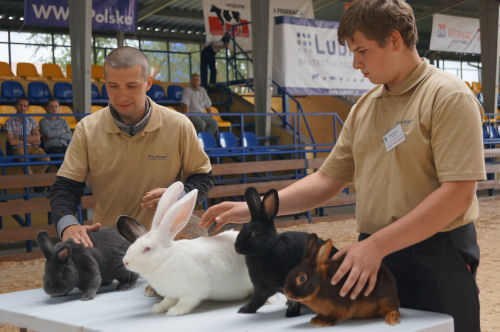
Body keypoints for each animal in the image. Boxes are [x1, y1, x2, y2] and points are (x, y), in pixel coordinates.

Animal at [117, 182, 254, 316]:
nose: (125, 261)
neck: (165, 260)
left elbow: (186, 302)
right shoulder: (171, 294)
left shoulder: (194, 290)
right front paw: (158, 308)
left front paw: (174, 311)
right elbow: (167, 301)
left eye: (147, 249)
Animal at [233, 187, 336, 316]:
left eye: (256, 232)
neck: (266, 252)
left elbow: (293, 299)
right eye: (243, 227)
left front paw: (291, 313)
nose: (237, 246)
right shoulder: (261, 288)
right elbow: (257, 300)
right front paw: (244, 310)